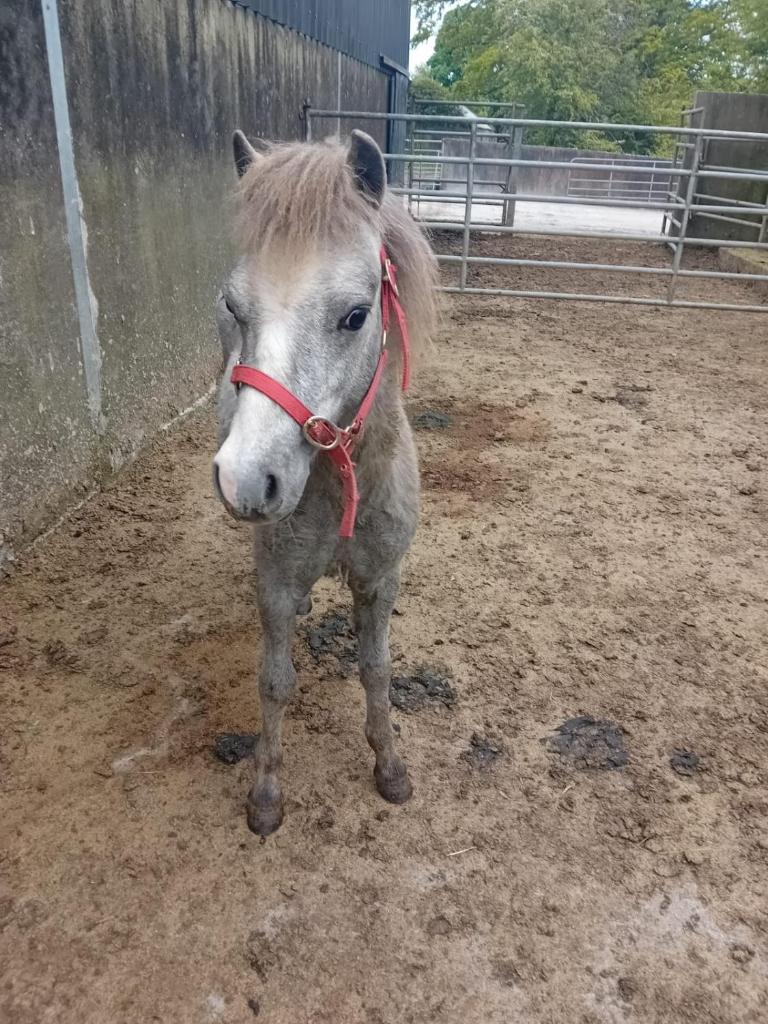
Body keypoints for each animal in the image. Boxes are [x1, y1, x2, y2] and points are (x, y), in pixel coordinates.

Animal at [213, 128, 438, 835]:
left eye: (356, 315)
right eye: (234, 307)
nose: (247, 481)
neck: (341, 485)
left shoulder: (380, 580)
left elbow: (377, 670)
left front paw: (390, 768)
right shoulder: (277, 584)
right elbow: (275, 681)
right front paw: (266, 795)